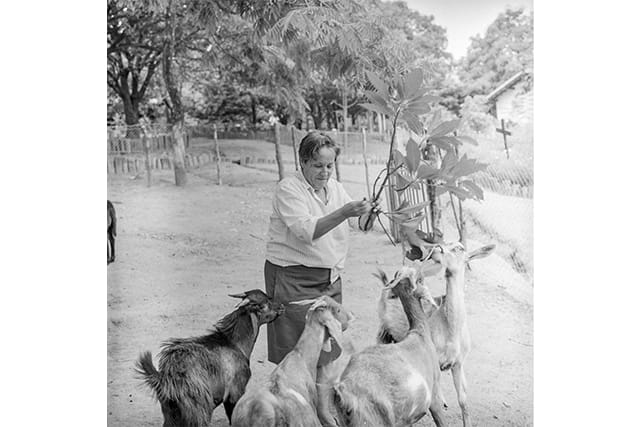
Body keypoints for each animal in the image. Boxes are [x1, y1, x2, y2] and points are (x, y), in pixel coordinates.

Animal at [136, 290, 284, 427]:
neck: (235, 343)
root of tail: (167, 375)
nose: (281, 306)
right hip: (199, 410)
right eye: (265, 302)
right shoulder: (236, 391)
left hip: (171, 412)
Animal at [336, 270, 444, 426]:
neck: (419, 333)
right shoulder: (434, 395)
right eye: (420, 280)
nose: (438, 300)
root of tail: (346, 394)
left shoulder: (408, 420)